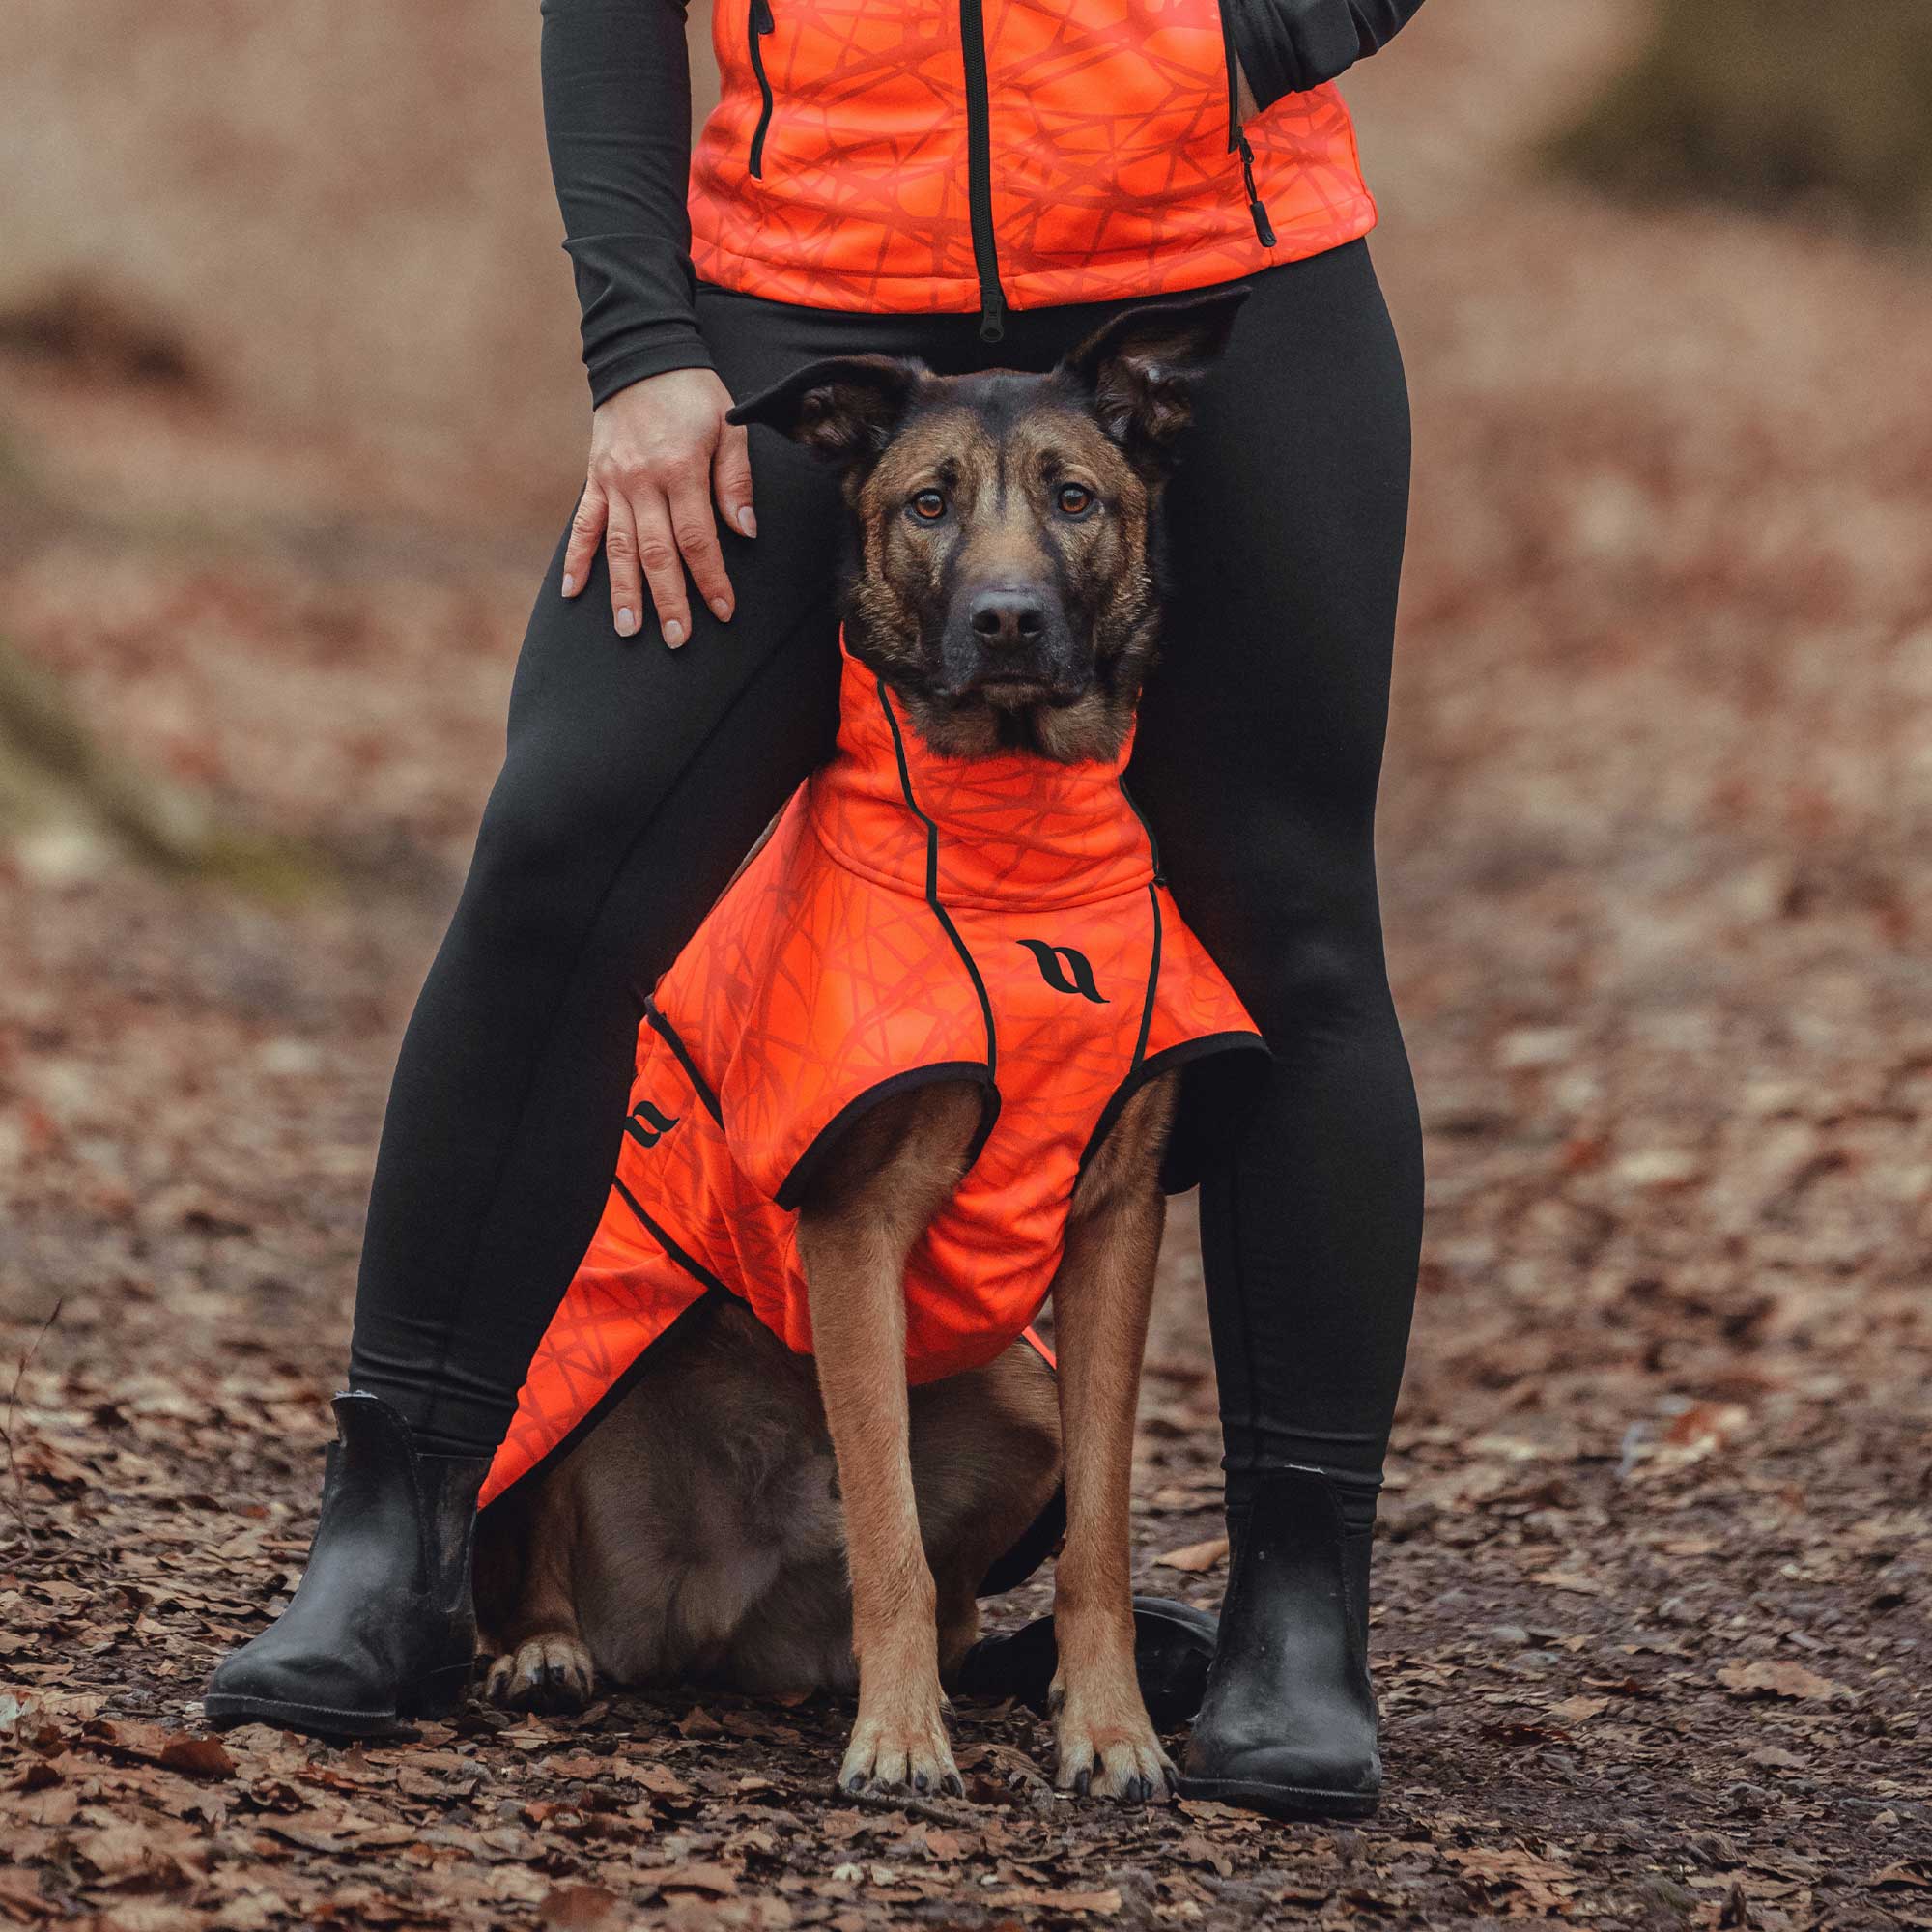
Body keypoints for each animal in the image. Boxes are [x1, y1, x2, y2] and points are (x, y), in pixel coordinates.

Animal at [473, 290, 1260, 1808]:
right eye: (928, 503)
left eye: (1074, 497)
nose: (1006, 621)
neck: (1019, 868)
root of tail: (713, 1616)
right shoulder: (852, 1224)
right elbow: (885, 1518)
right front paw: (899, 1739)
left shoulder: (1117, 1224)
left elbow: (1101, 1531)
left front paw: (1110, 1722)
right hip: (569, 1349)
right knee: (533, 1536)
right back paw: (548, 1647)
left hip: (1021, 1391)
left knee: (957, 1591)